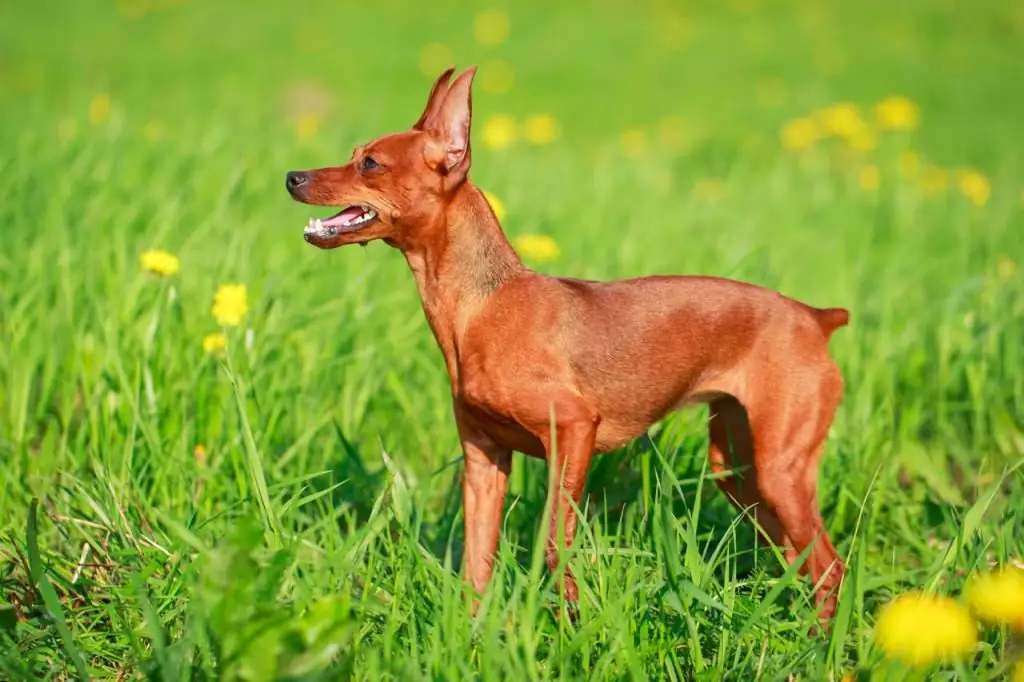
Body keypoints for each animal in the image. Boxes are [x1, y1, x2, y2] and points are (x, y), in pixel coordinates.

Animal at [286, 65, 847, 622]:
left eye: (370, 163)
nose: (292, 177)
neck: (481, 306)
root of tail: (815, 318)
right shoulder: (483, 461)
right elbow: (475, 568)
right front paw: (473, 634)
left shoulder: (574, 432)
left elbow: (556, 546)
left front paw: (570, 625)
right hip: (741, 474)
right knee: (803, 560)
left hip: (779, 470)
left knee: (830, 567)